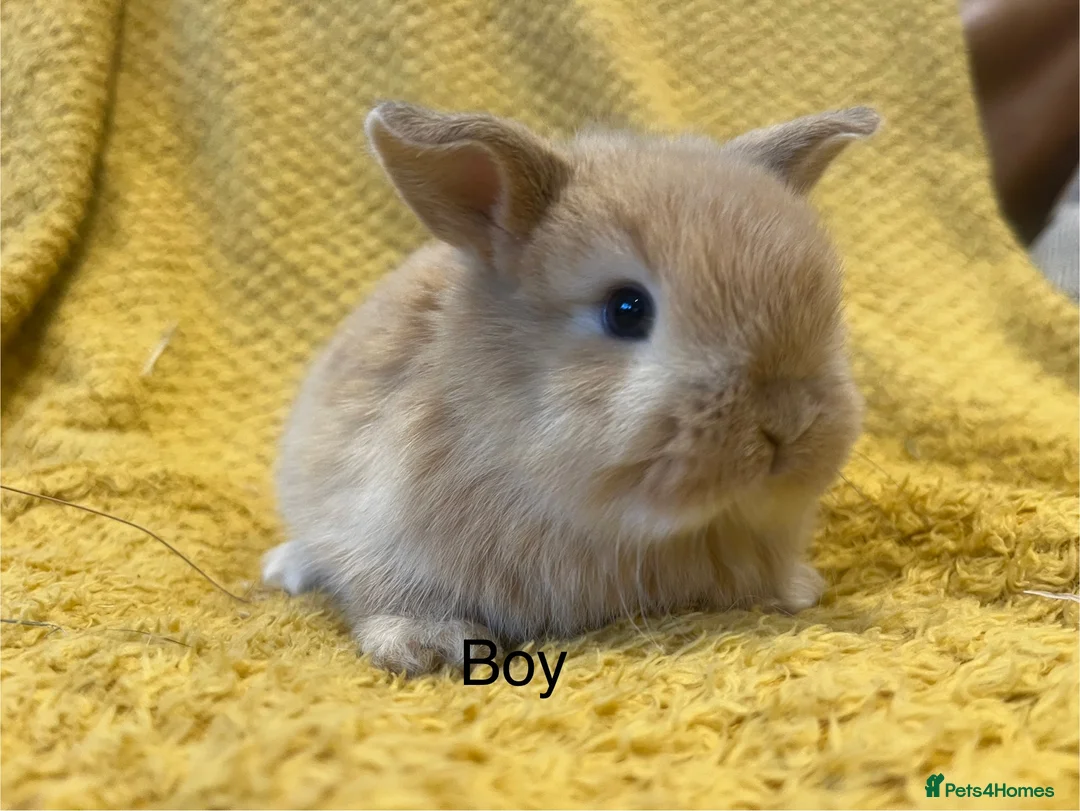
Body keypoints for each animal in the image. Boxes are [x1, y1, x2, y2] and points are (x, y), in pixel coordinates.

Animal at [262, 100, 880, 676]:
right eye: (626, 310)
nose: (787, 421)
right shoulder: (376, 524)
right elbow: (386, 591)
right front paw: (427, 647)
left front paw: (799, 590)